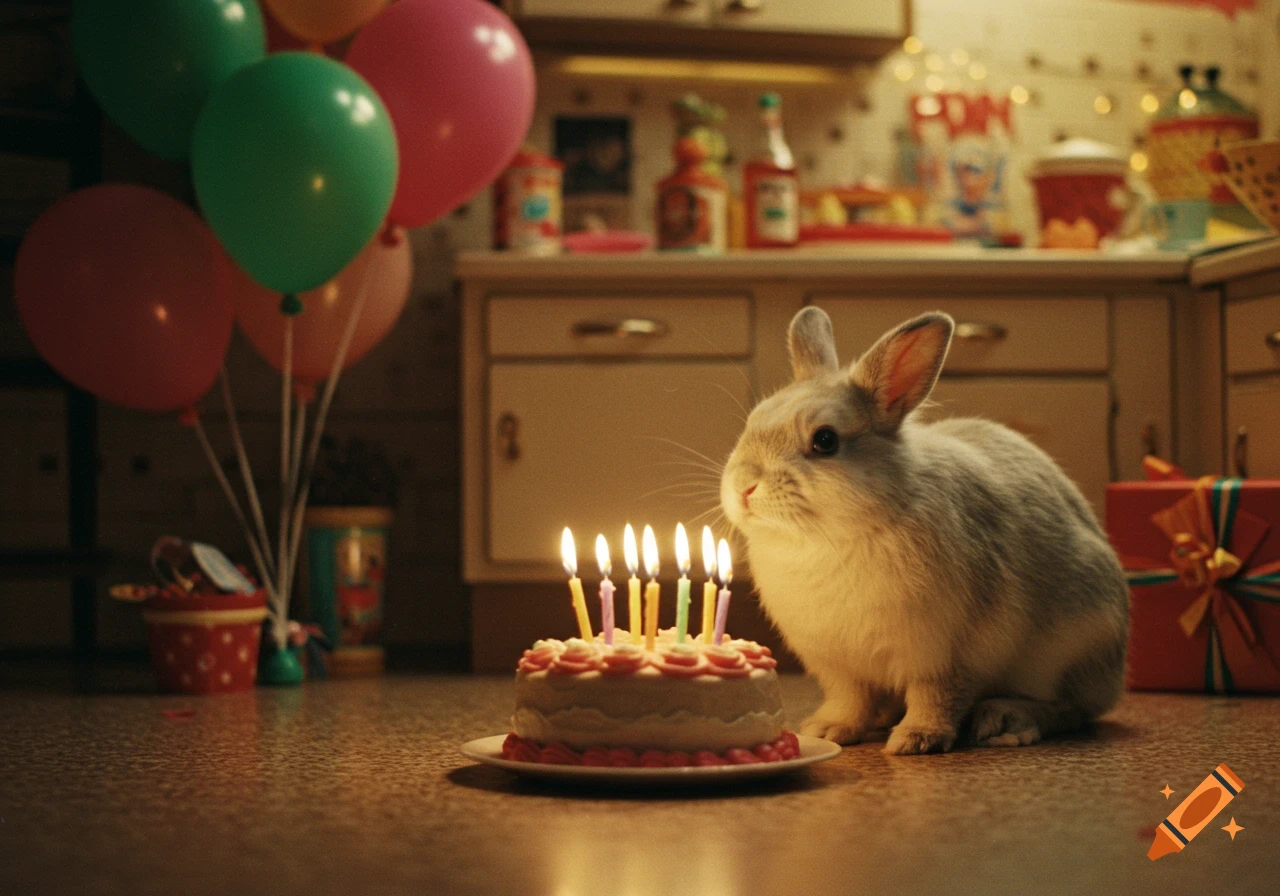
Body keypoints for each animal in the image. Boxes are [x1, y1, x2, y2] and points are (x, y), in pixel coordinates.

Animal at [719, 306, 1128, 755]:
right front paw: (828, 729)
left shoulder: (947, 654)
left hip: (1074, 649)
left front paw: (916, 740)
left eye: (825, 440)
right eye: (751, 422)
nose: (743, 486)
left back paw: (1005, 721)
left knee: (1071, 709)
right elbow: (850, 698)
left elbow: (936, 697)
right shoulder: (841, 666)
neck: (831, 537)